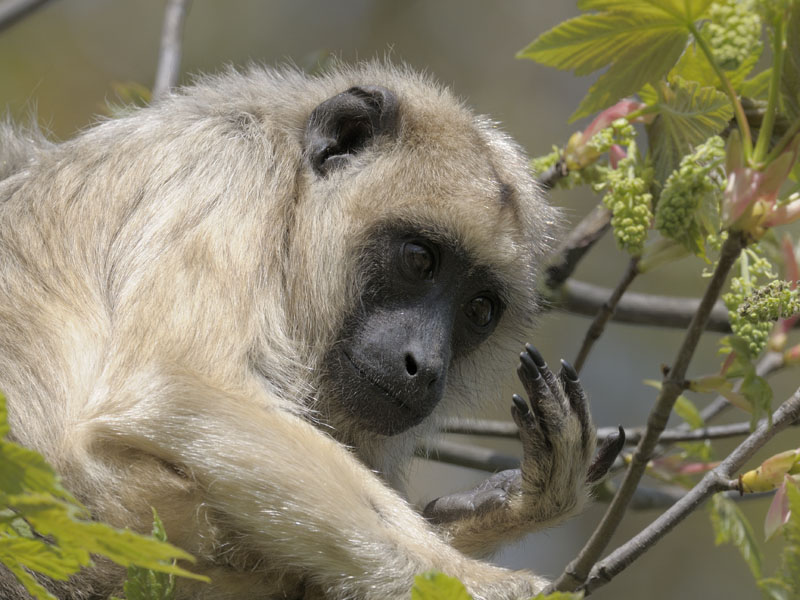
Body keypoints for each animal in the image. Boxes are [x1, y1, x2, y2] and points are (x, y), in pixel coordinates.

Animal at [0, 63, 620, 599]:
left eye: (479, 310)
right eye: (420, 259)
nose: (425, 363)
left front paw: (505, 507)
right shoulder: (226, 169)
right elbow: (180, 386)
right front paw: (472, 581)